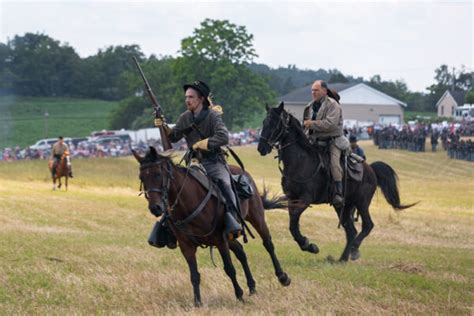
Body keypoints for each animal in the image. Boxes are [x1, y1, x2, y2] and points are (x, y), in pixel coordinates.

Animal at [131, 148, 290, 306]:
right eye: (142, 177)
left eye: (158, 174)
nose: (155, 208)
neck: (188, 203)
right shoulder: (187, 246)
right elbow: (194, 275)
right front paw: (198, 303)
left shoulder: (219, 240)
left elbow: (229, 268)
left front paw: (239, 295)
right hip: (230, 235)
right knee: (240, 251)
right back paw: (252, 287)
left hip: (256, 218)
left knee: (268, 244)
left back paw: (282, 277)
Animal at [256, 103, 414, 262]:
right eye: (264, 122)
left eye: (275, 123)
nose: (261, 148)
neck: (301, 161)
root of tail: (371, 170)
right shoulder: (291, 198)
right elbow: (293, 224)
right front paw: (309, 245)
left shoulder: (305, 199)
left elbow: (294, 221)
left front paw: (308, 245)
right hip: (344, 206)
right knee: (351, 231)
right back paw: (342, 259)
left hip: (361, 203)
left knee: (367, 226)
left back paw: (354, 250)